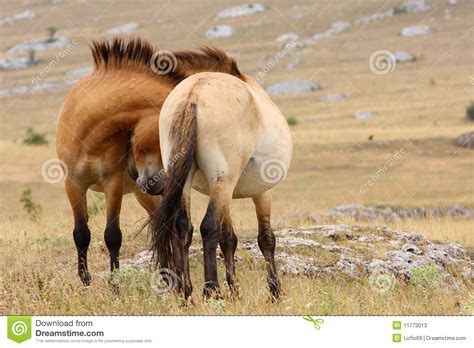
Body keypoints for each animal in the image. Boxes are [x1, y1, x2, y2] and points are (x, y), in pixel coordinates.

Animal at [56, 38, 244, 286]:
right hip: (145, 194)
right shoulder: (73, 183)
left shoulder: (112, 183)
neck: (90, 136)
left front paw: (115, 285)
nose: (160, 181)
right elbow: (81, 233)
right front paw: (86, 281)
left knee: (219, 234)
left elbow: (112, 235)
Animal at [149, 72, 292, 300]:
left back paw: (187, 293)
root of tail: (193, 94)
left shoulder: (226, 194)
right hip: (223, 181)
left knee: (183, 227)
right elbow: (266, 239)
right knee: (208, 227)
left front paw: (235, 291)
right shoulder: (261, 192)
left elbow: (228, 239)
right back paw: (211, 290)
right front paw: (274, 291)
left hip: (190, 182)